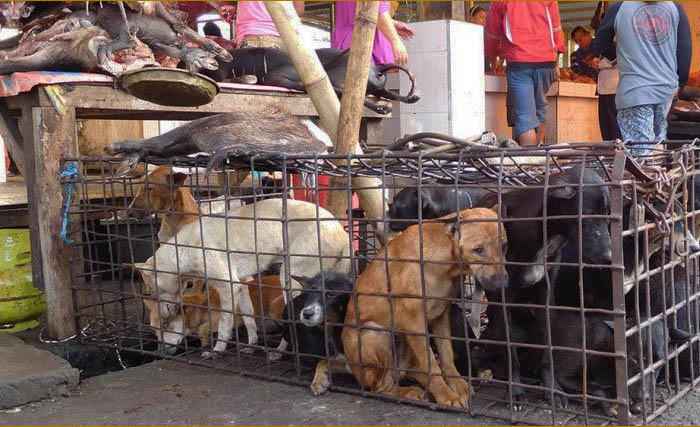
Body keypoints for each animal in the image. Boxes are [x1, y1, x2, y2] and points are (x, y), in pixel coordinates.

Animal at [340, 206, 508, 408]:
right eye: (478, 250)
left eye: (504, 246)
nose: (502, 285)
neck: (445, 263)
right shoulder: (414, 324)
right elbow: (432, 366)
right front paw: (446, 395)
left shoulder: (441, 318)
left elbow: (446, 357)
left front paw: (457, 384)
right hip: (375, 334)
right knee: (380, 387)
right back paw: (408, 392)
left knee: (411, 371)